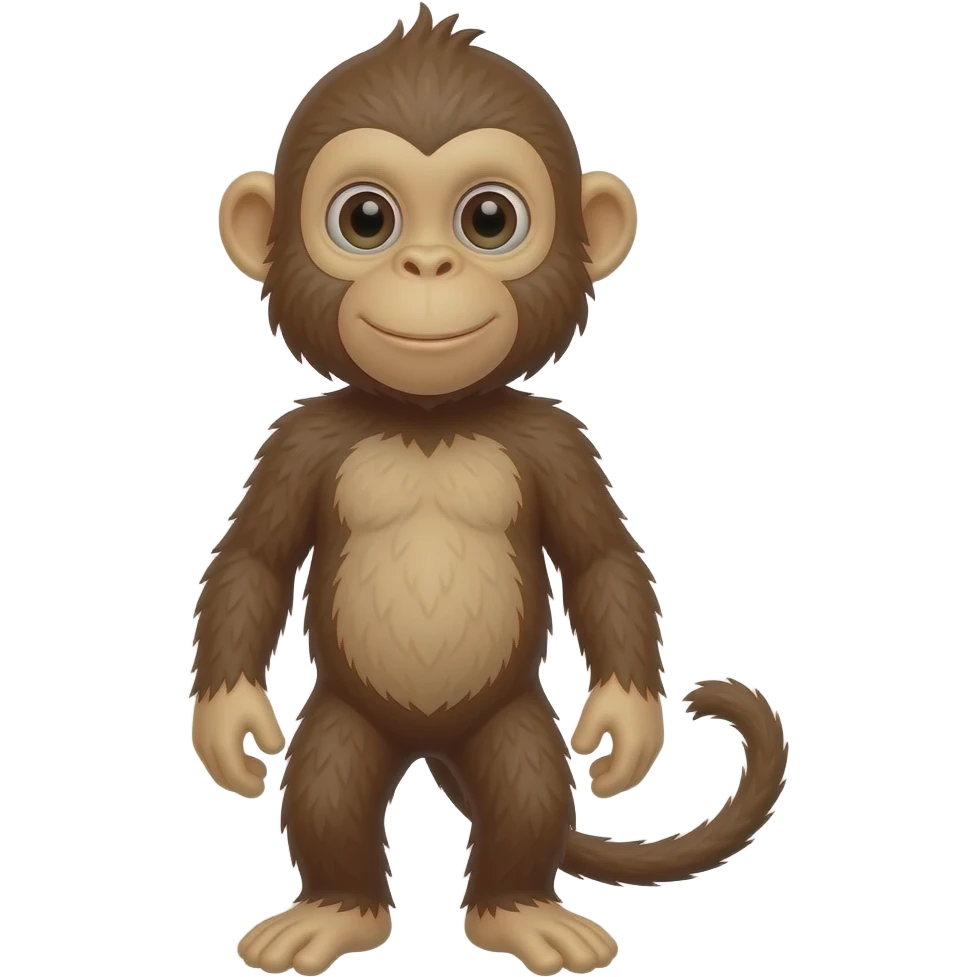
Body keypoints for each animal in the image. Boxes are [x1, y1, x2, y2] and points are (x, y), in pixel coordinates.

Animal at [192, 7, 790, 976]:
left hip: (508, 718)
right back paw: (335, 909)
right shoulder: (298, 441)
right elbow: (252, 557)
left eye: (487, 218)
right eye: (366, 218)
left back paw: (519, 909)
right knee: (327, 784)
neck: (430, 422)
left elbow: (600, 560)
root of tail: (431, 743)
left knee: (526, 786)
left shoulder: (557, 442)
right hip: (348, 717)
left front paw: (628, 722)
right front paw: (228, 725)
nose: (429, 266)